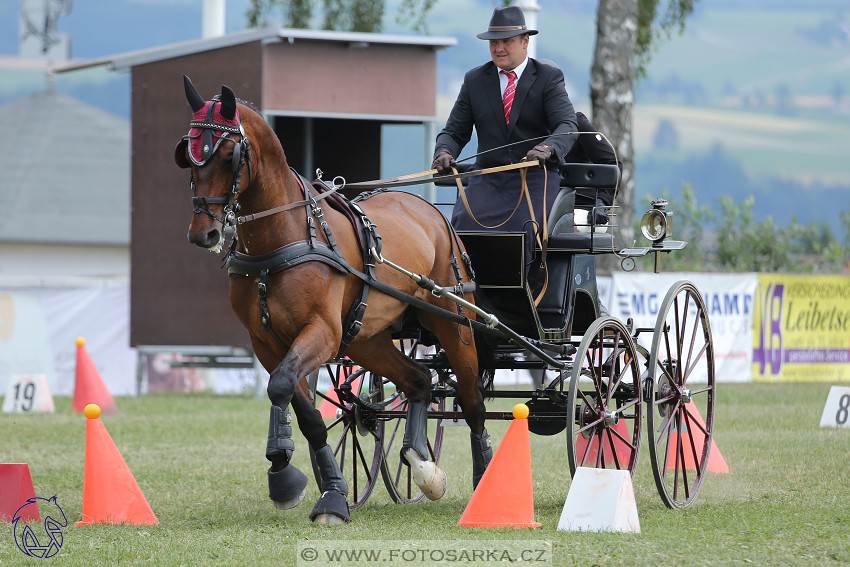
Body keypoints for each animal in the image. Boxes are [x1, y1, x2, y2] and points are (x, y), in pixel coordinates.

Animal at [176, 75, 494, 524]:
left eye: (226, 155)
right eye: (187, 156)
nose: (202, 233)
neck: (285, 237)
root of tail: (430, 211)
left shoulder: (322, 332)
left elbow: (281, 386)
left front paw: (289, 470)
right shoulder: (267, 342)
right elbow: (300, 405)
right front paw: (316, 486)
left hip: (453, 320)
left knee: (471, 400)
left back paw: (486, 481)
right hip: (366, 338)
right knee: (420, 380)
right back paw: (420, 463)